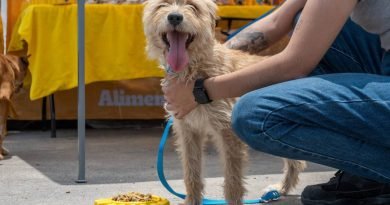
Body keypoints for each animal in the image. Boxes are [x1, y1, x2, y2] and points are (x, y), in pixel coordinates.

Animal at [142, 0, 306, 204]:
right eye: (162, 5)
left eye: (193, 6)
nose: (174, 17)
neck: (193, 71)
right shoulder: (188, 130)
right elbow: (192, 173)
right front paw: (192, 200)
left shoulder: (228, 132)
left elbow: (232, 181)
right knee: (296, 160)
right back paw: (281, 189)